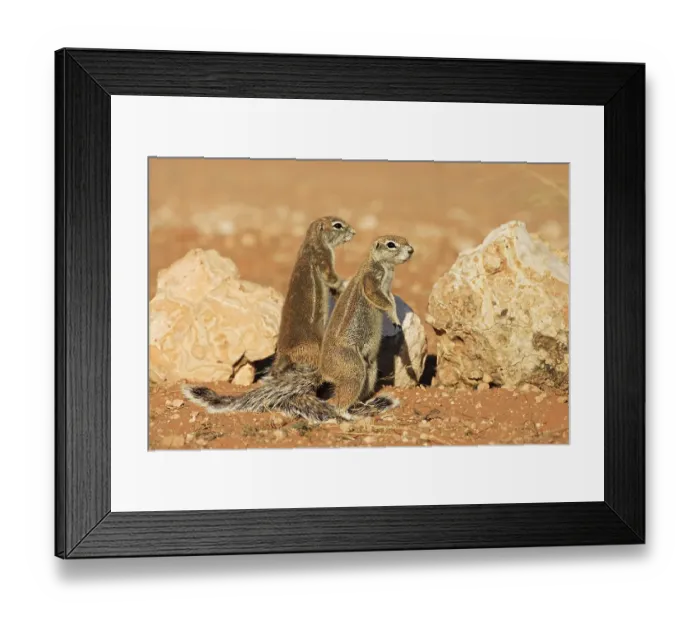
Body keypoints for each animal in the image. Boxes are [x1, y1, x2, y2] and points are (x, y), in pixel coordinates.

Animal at [183, 216, 355, 416]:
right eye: (337, 225)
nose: (353, 233)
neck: (312, 242)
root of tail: (282, 355)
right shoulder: (323, 258)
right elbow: (331, 278)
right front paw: (346, 283)